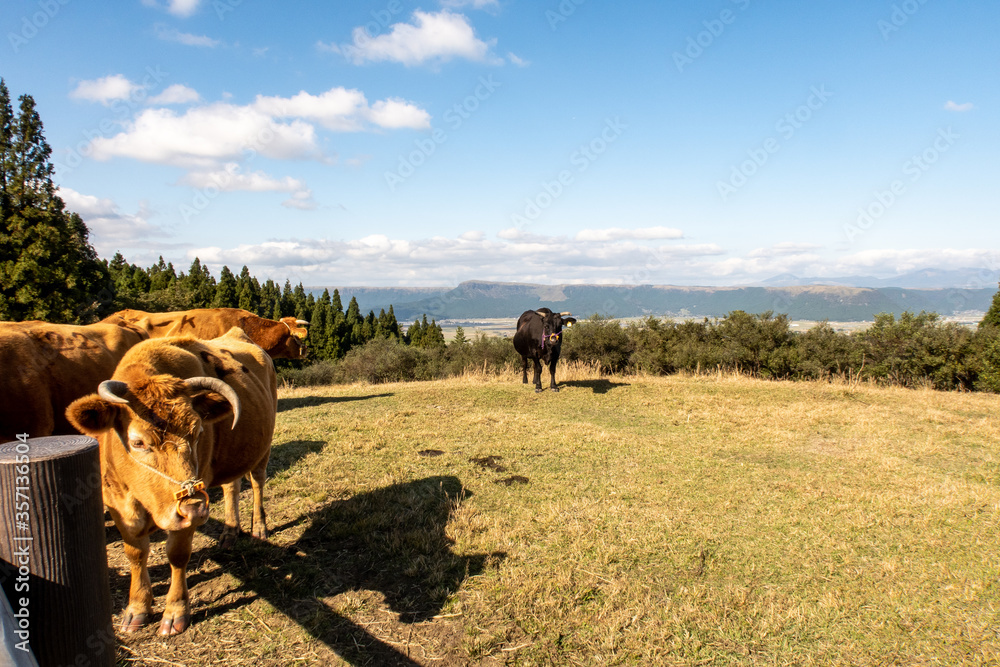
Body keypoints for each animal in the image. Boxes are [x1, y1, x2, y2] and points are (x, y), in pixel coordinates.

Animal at [65, 328, 278, 636]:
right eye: (137, 442)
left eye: (198, 433)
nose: (194, 509)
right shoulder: (117, 504)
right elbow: (135, 553)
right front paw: (137, 608)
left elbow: (177, 555)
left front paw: (175, 612)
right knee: (232, 486)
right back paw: (229, 531)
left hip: (262, 450)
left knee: (258, 482)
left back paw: (259, 527)